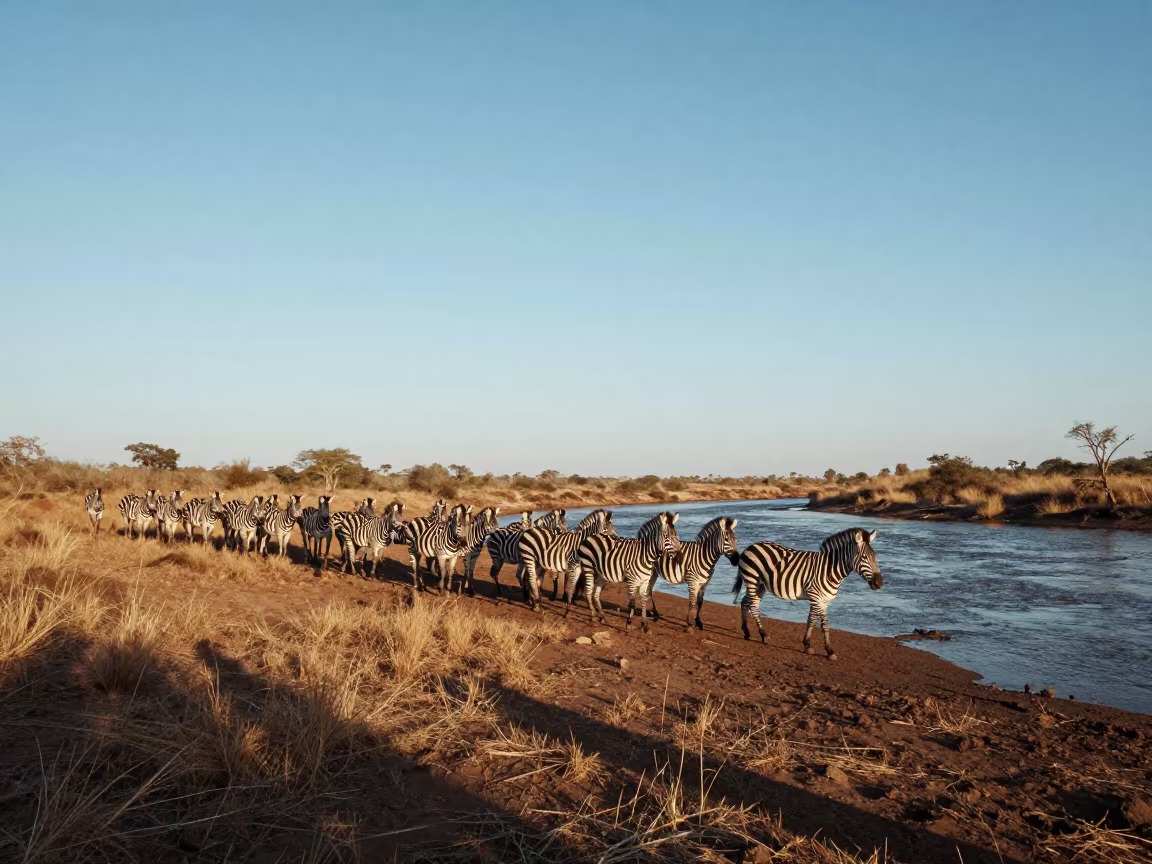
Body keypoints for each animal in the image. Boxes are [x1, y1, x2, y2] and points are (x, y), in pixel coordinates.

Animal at [732, 527, 882, 659]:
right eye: (864, 557)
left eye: (875, 556)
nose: (879, 583)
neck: (829, 570)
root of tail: (750, 546)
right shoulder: (815, 596)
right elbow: (813, 621)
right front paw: (811, 646)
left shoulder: (825, 600)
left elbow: (822, 624)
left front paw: (826, 650)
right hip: (752, 580)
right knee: (753, 606)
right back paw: (763, 635)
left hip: (760, 586)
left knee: (745, 601)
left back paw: (746, 631)